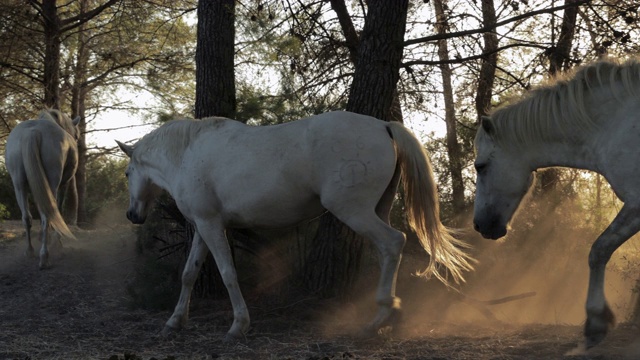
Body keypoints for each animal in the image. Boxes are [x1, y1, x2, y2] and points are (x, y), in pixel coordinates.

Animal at [5, 108, 79, 268]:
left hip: (19, 184)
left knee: (27, 217)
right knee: (47, 215)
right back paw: (44, 257)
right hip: (51, 182)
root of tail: (32, 132)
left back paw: (30, 251)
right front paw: (57, 241)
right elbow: (58, 210)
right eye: (76, 135)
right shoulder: (62, 186)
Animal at [117, 111, 472, 342]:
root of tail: (383, 126)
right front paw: (175, 321)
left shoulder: (211, 226)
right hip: (376, 209)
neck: (187, 154)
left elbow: (228, 274)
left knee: (392, 243)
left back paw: (383, 316)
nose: (132, 215)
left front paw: (238, 325)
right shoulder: (206, 227)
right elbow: (189, 274)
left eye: (127, 173)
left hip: (353, 210)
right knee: (390, 249)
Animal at [476, 57, 640, 348]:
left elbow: (599, 250)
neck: (616, 124)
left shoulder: (636, 201)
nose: (477, 224)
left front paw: (595, 322)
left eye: (480, 167)